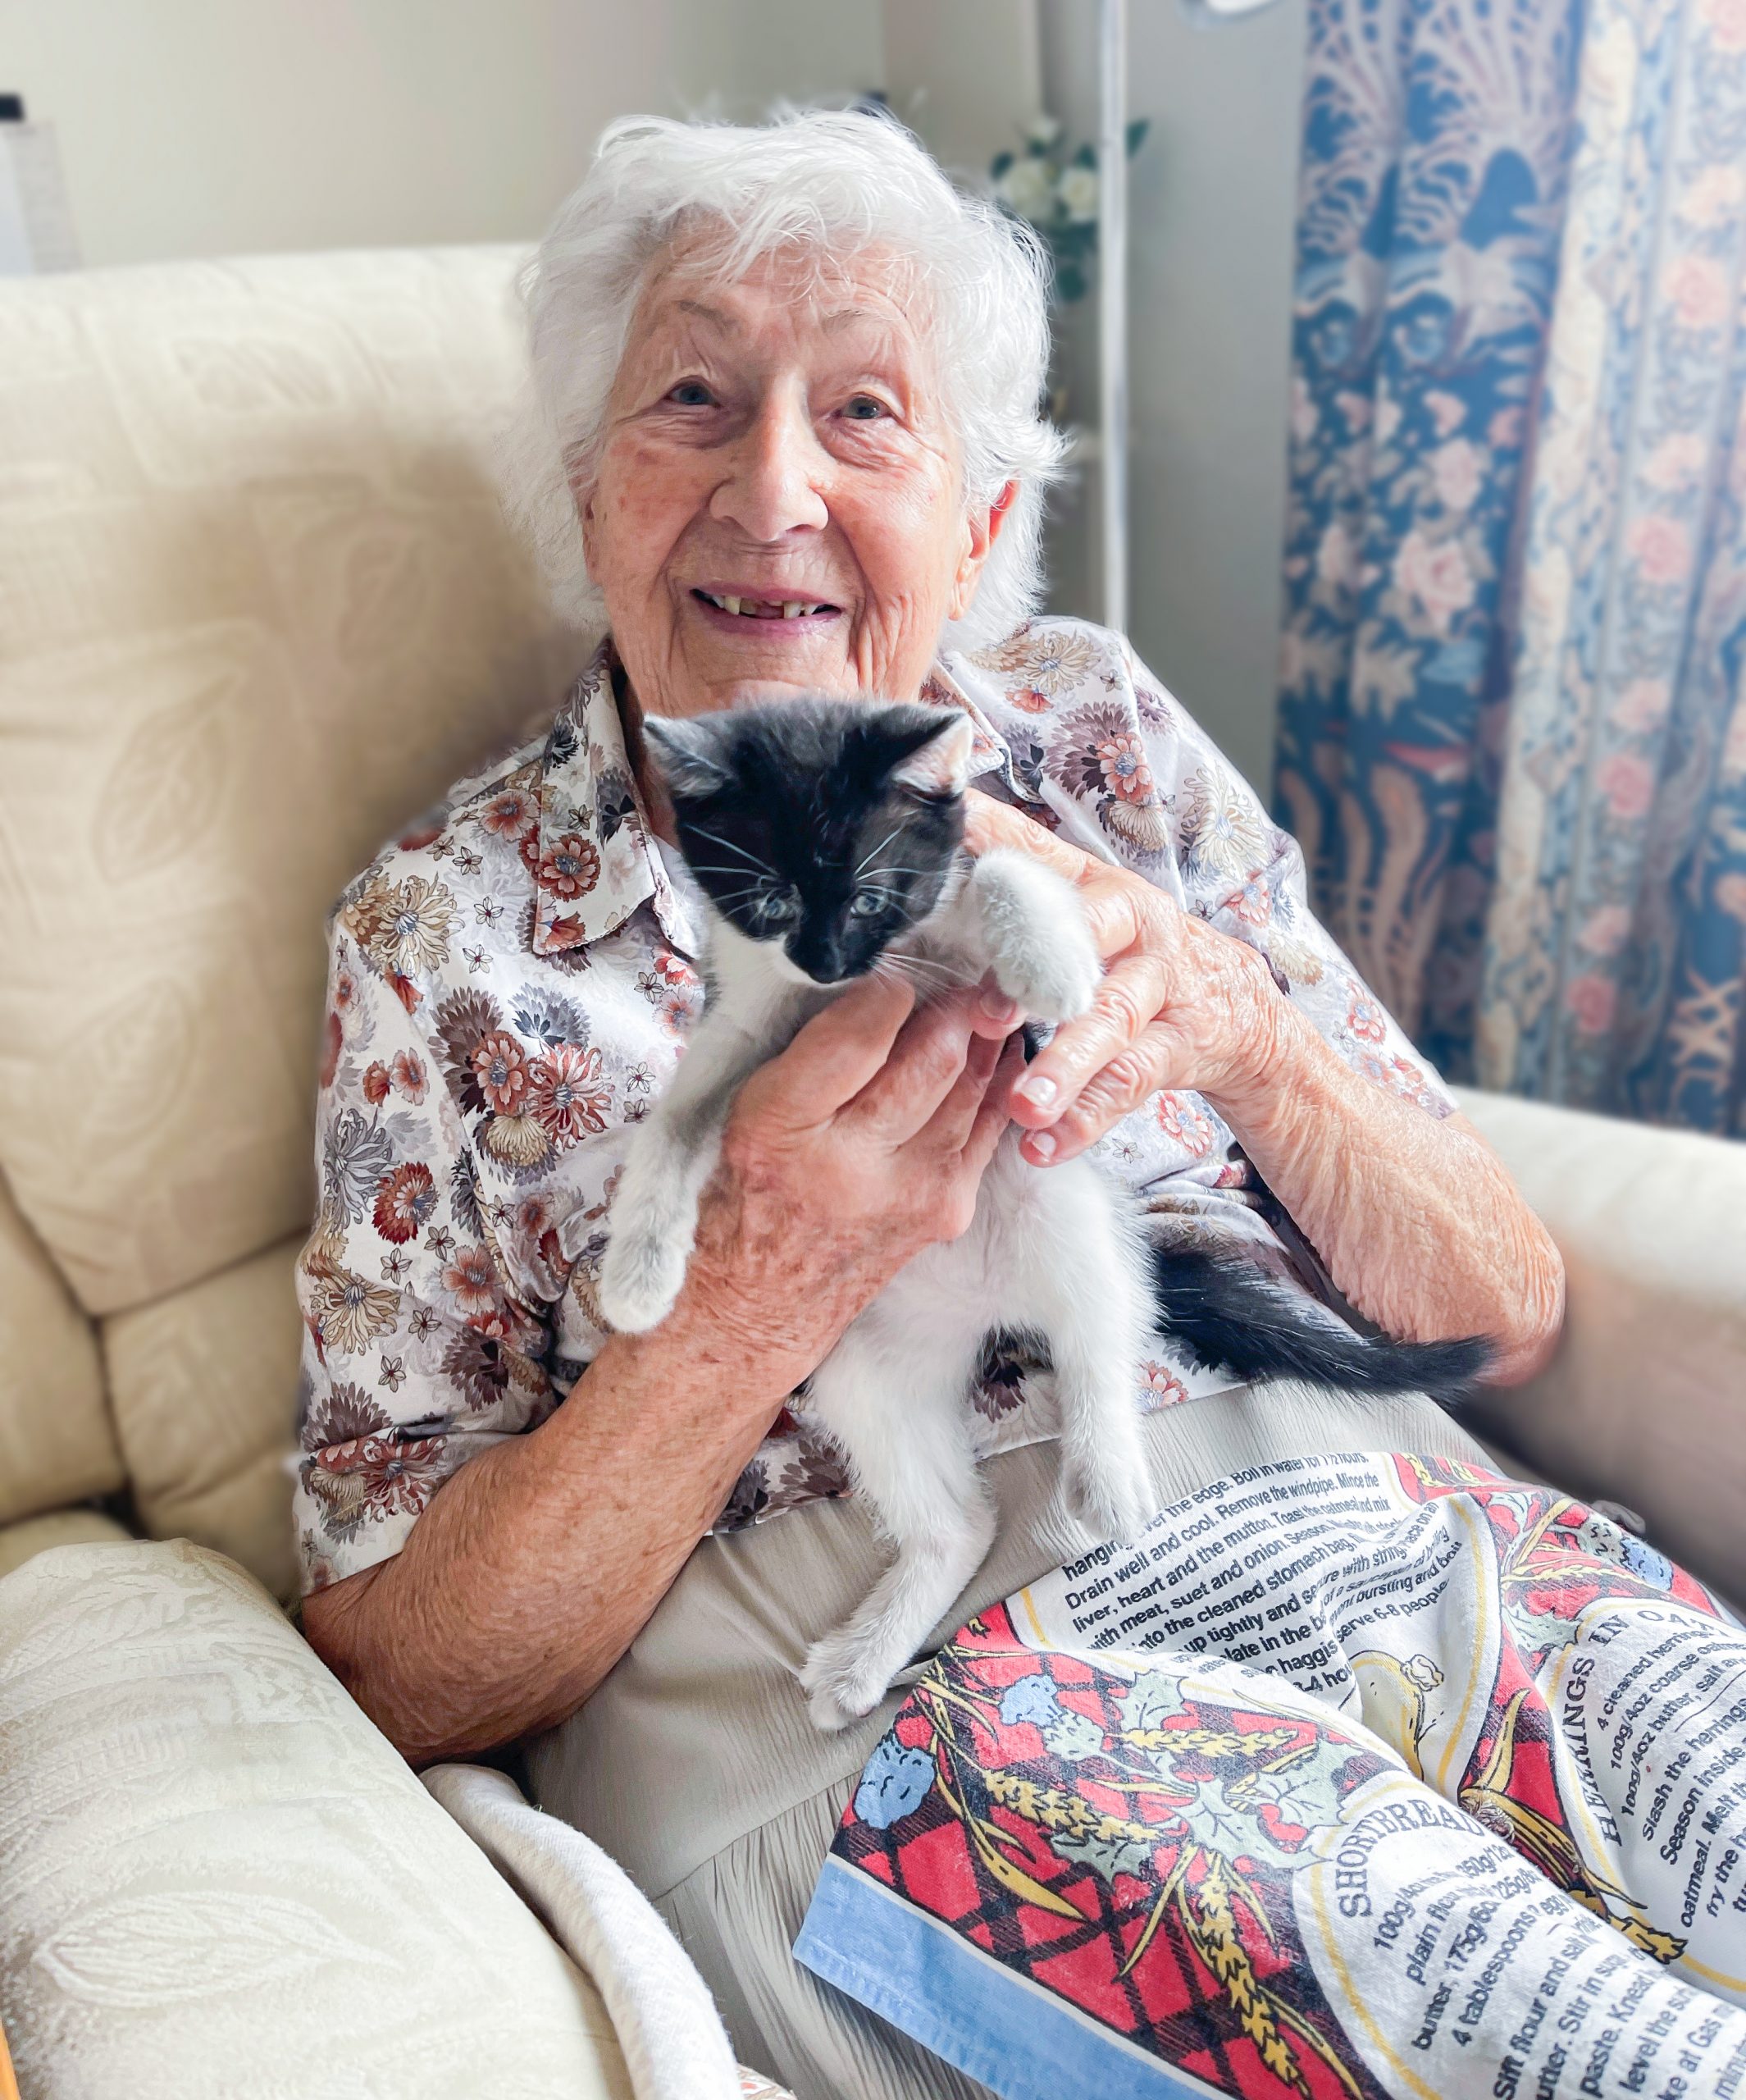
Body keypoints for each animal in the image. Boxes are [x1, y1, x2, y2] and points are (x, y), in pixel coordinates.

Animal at [599, 696, 1485, 1730]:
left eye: (868, 898)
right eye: (772, 902)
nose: (824, 962)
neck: (854, 986)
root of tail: (988, 1309)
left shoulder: (980, 962)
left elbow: (1008, 871)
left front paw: (1052, 962)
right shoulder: (744, 1030)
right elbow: (675, 1124)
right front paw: (637, 1275)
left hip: (1061, 1202)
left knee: (1102, 1330)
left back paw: (1107, 1476)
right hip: (858, 1365)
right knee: (960, 1522)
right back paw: (867, 1656)